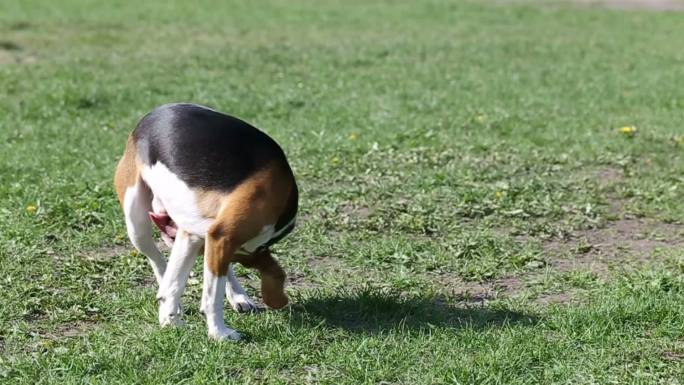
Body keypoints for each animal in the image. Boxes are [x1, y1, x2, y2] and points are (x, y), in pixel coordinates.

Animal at [113, 102, 298, 340]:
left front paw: (170, 319)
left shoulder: (203, 237)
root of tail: (150, 115)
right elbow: (211, 296)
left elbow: (182, 283)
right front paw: (219, 333)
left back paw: (236, 296)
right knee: (157, 260)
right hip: (137, 225)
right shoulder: (221, 236)